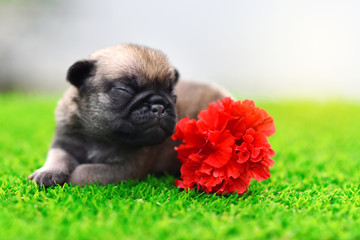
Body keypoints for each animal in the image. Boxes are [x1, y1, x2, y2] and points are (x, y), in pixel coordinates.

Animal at [29, 44, 229, 188]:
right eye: (124, 90)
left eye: (172, 93)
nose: (159, 105)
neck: (98, 135)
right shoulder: (64, 142)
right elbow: (57, 156)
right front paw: (47, 172)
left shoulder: (124, 168)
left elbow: (84, 172)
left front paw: (71, 178)